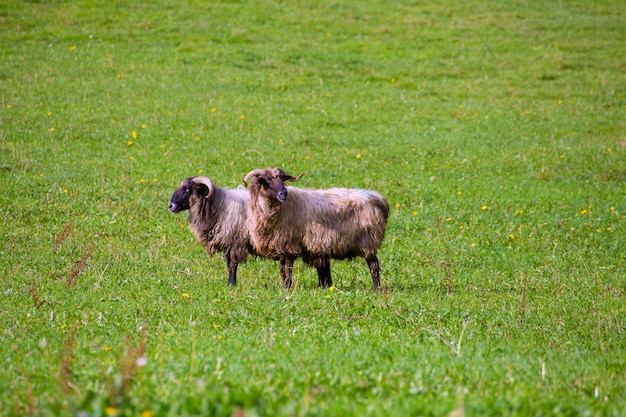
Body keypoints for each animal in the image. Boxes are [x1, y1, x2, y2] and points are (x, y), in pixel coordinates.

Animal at [241, 167, 388, 290]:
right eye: (267, 180)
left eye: (283, 179)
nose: (284, 193)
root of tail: (379, 199)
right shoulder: (282, 245)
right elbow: (283, 270)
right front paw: (284, 288)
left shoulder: (290, 244)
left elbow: (288, 268)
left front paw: (287, 288)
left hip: (368, 240)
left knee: (373, 265)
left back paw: (377, 289)